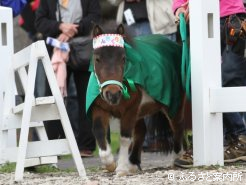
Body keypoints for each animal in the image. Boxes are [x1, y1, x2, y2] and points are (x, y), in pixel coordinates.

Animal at [89, 23, 185, 176]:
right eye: (97, 59)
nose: (113, 94)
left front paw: (121, 168)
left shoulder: (130, 110)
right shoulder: (99, 108)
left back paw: (178, 158)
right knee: (141, 131)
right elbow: (98, 131)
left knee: (177, 126)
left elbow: (125, 138)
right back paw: (133, 163)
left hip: (173, 104)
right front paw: (110, 163)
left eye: (123, 58)